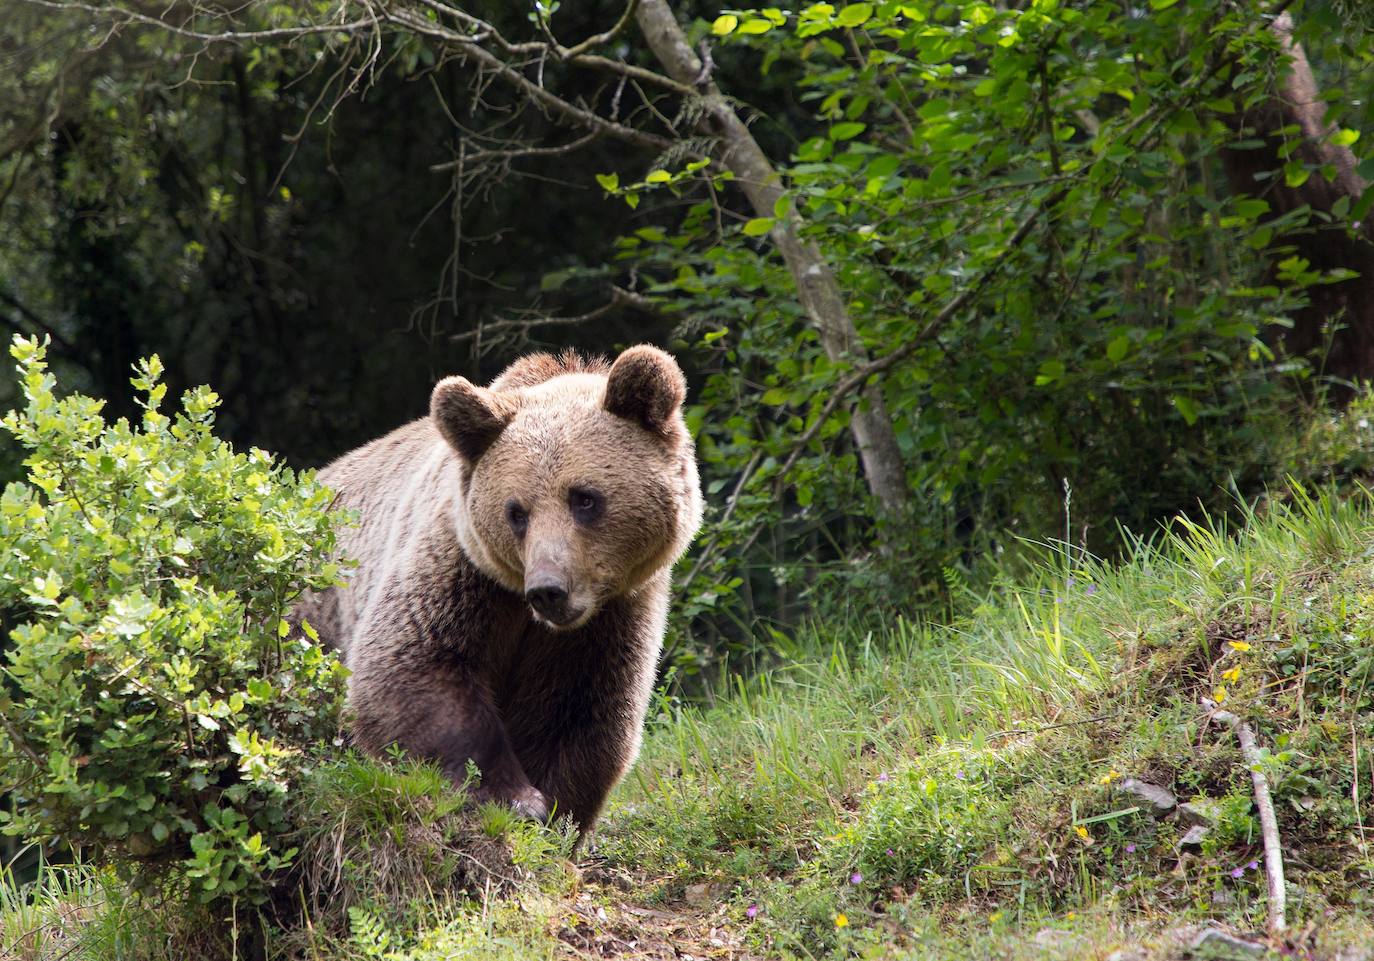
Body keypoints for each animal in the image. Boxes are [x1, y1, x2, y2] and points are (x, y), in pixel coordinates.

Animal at [289, 349, 697, 830]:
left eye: (585, 498)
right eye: (516, 512)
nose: (548, 589)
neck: (531, 617)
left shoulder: (612, 616)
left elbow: (579, 711)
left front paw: (554, 810)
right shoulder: (462, 572)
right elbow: (413, 666)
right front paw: (515, 797)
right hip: (312, 616)